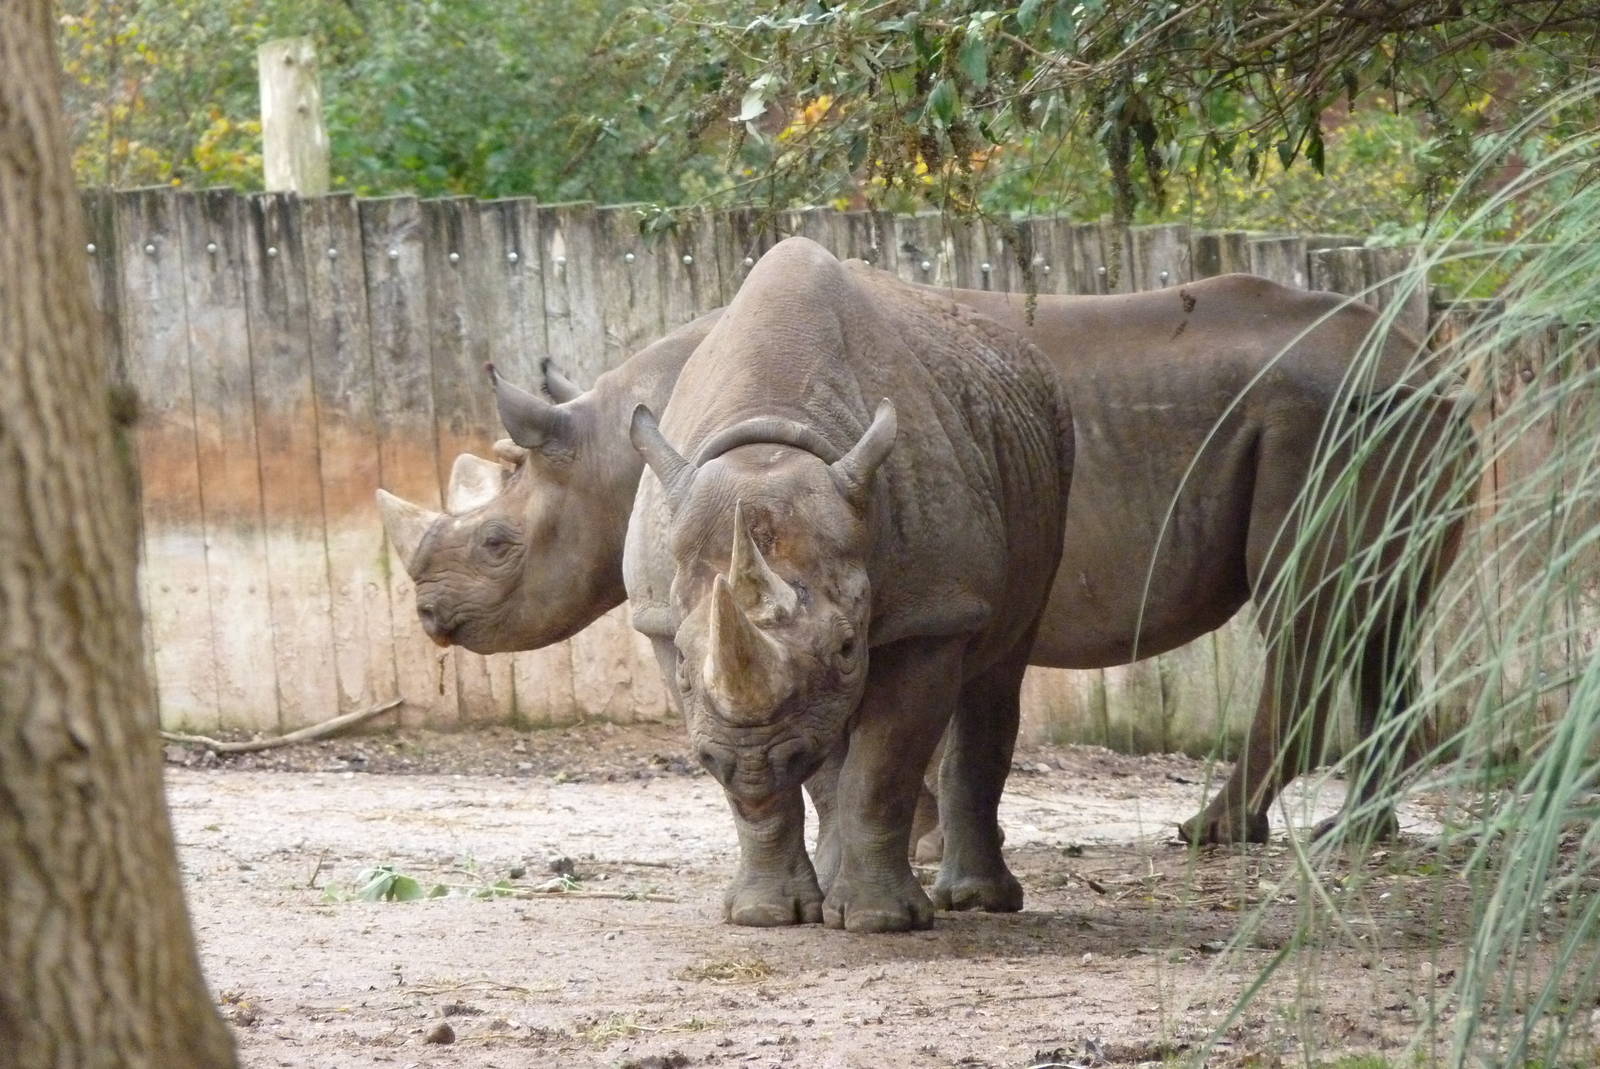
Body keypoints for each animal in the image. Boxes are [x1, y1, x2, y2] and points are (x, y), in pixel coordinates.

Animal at [378, 261, 1469, 847]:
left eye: (498, 542)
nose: (430, 618)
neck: (613, 444)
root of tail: (1426, 358)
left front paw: (917, 835)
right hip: (1388, 419)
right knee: (1379, 612)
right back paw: (1352, 834)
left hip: (1326, 414)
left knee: (1310, 610)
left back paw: (1211, 833)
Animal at [619, 237, 1073, 930]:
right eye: (690, 673)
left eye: (845, 648)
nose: (750, 755)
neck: (772, 442)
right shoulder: (662, 621)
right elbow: (781, 786)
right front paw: (766, 914)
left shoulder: (930, 615)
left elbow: (882, 767)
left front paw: (880, 922)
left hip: (1049, 440)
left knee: (1002, 663)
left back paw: (980, 901)